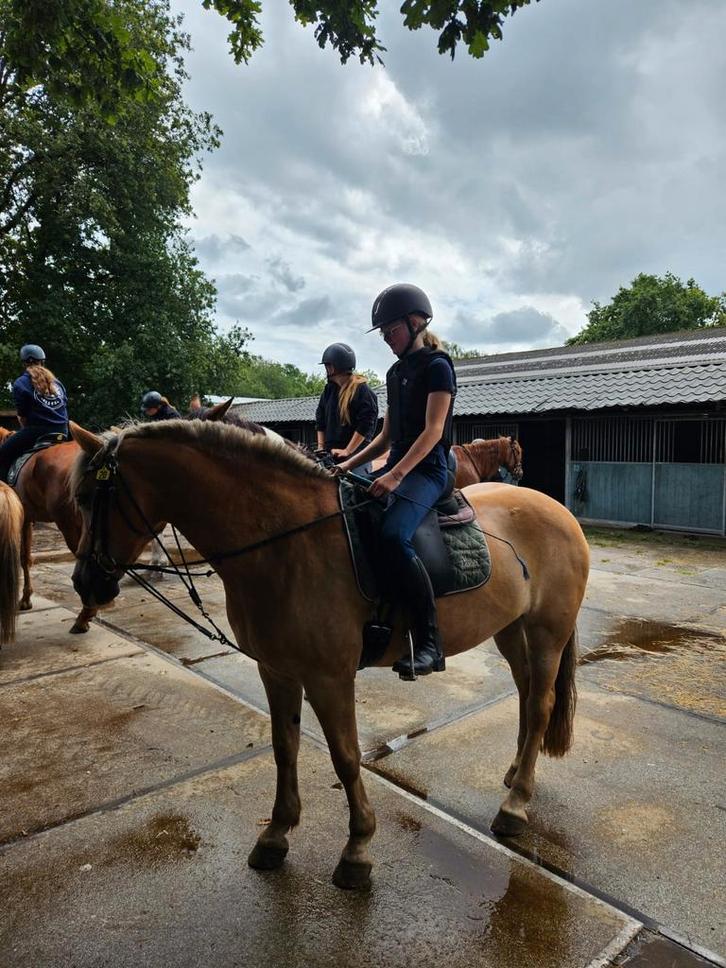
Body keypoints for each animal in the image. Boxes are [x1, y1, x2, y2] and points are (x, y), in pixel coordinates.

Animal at [69, 418, 589, 889]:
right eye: (79, 500)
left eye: (94, 497)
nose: (85, 583)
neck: (286, 540)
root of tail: (558, 510)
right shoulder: (276, 669)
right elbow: (285, 747)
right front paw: (276, 835)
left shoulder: (329, 676)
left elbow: (345, 756)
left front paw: (357, 849)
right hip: (511, 628)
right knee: (526, 693)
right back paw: (516, 773)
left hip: (547, 631)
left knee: (541, 705)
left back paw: (515, 804)